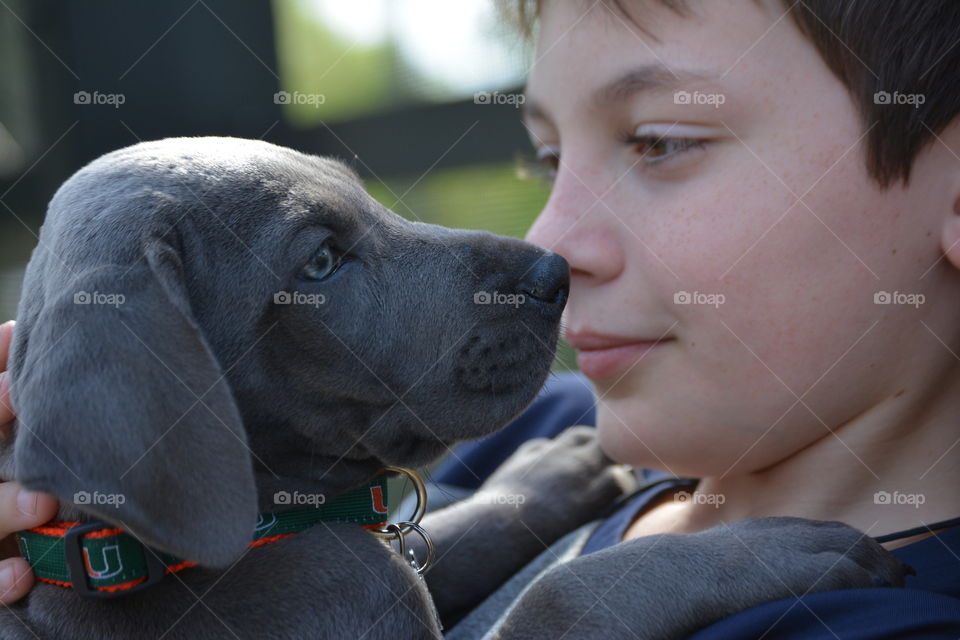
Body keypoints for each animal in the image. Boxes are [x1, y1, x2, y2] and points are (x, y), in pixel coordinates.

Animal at [0, 138, 908, 636]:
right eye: (320, 260)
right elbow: (559, 597)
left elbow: (454, 535)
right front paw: (777, 548)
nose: (554, 275)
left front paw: (552, 471)